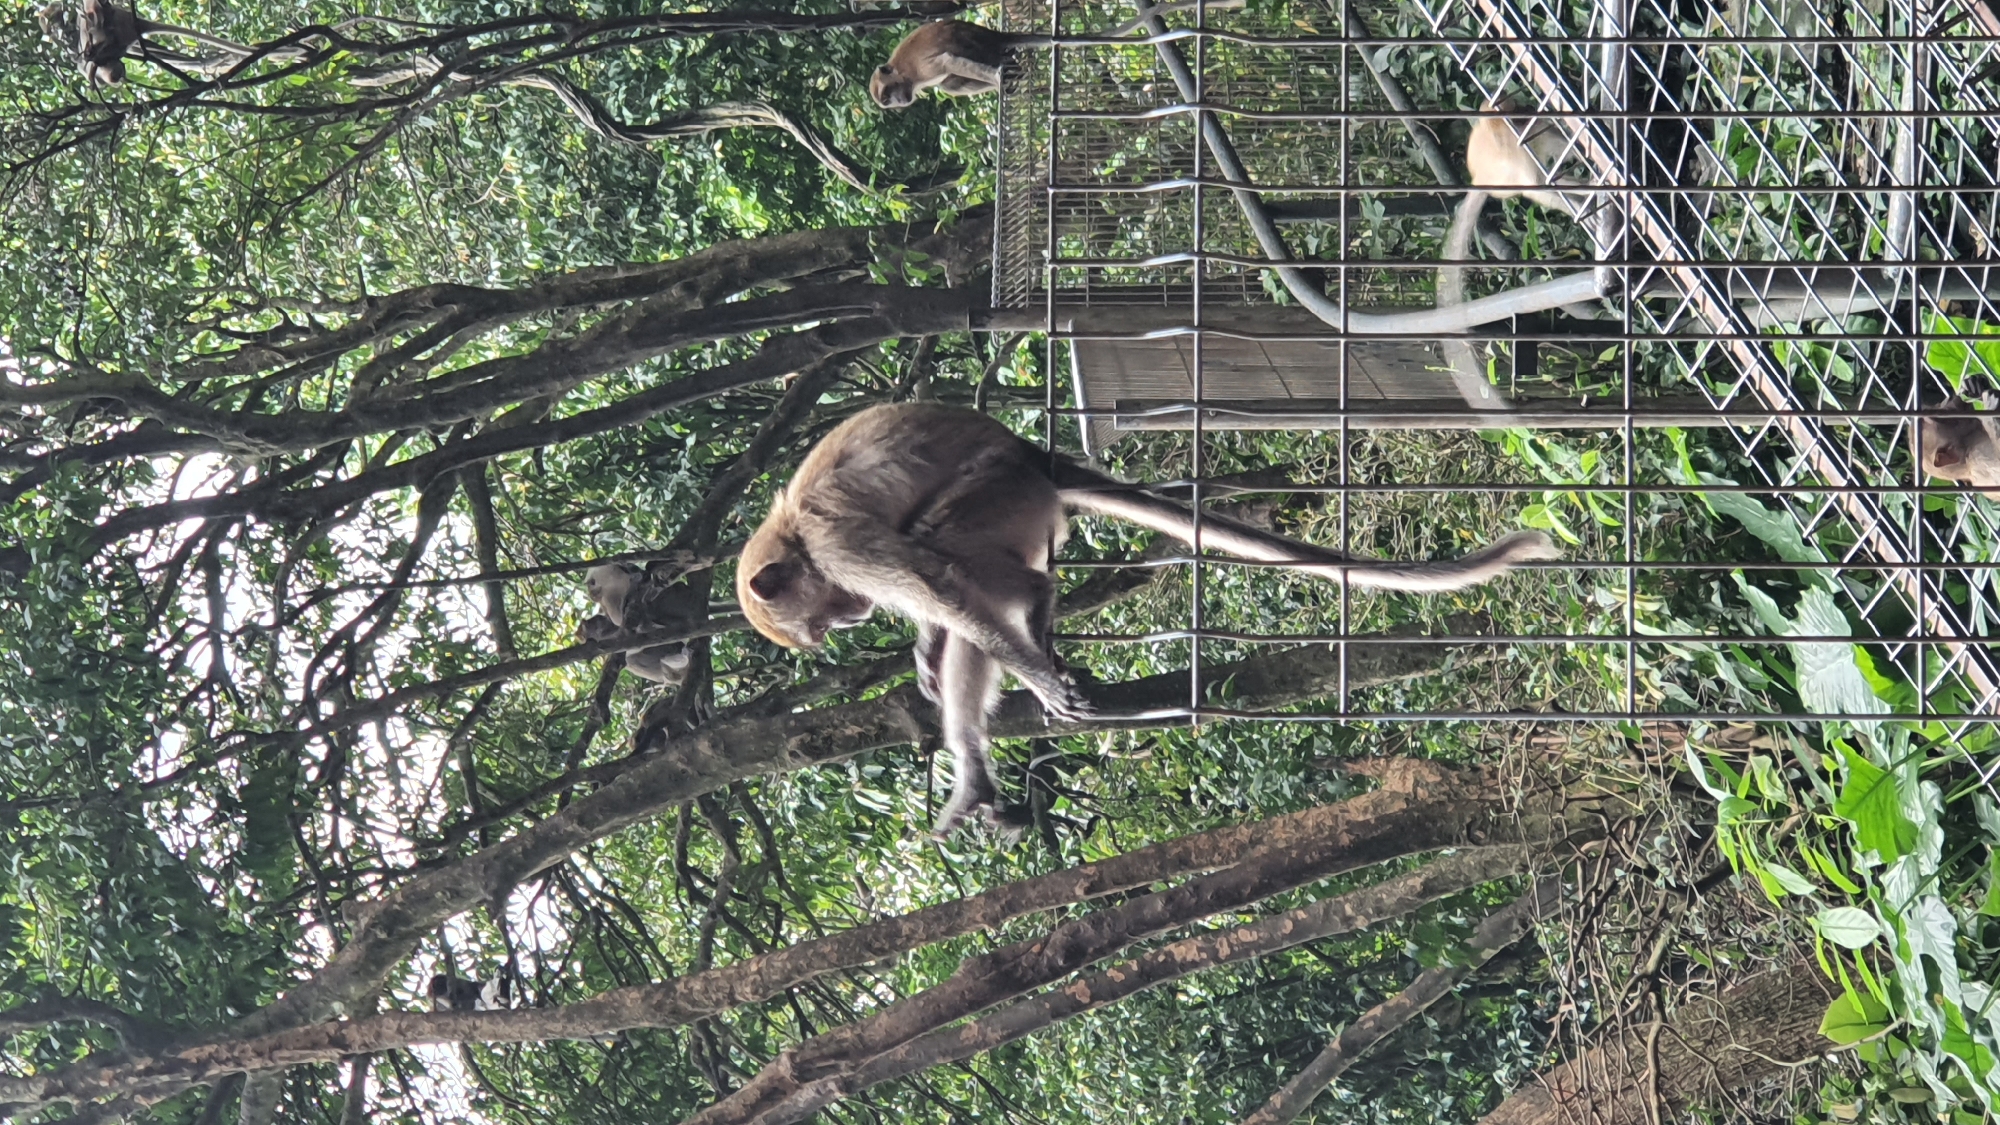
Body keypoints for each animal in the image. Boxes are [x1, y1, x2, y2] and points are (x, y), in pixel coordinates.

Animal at [735, 403, 1560, 838]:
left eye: (823, 623)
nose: (850, 622)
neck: (792, 532)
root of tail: (1028, 451)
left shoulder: (841, 547)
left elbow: (937, 582)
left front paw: (1004, 662)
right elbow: (937, 612)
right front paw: (924, 655)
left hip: (1000, 489)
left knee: (952, 551)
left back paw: (1024, 634)